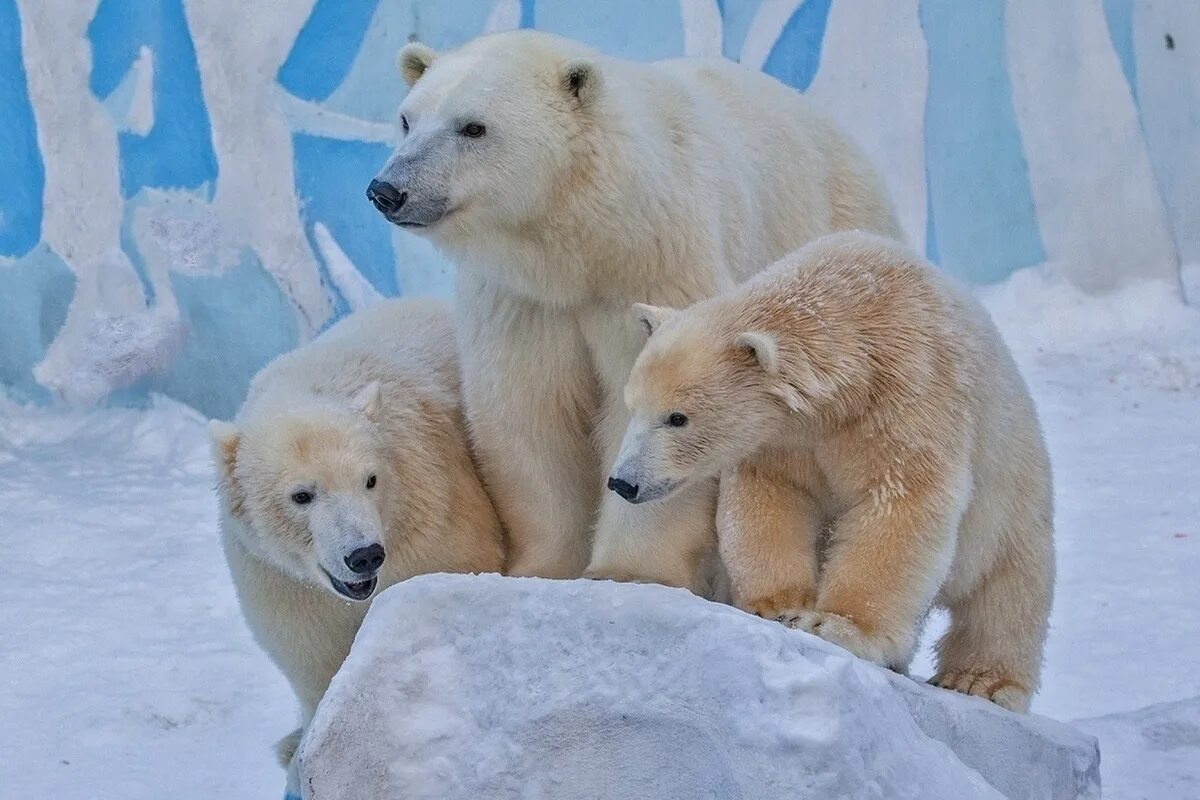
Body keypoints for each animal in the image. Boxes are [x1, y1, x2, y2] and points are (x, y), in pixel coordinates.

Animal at [208, 297, 504, 767]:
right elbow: (313, 653)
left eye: (370, 479)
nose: (363, 555)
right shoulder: (277, 578)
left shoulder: (431, 516)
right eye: (302, 495)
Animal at [364, 31, 902, 594]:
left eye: (473, 126)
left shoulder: (659, 266)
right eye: (407, 119)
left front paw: (627, 571)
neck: (592, 240)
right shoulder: (524, 302)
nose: (387, 190)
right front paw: (543, 568)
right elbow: (529, 414)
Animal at [614, 232, 1056, 714]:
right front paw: (778, 606)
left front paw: (836, 625)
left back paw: (979, 679)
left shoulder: (911, 395)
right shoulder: (786, 441)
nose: (622, 482)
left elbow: (903, 502)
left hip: (1014, 497)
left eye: (678, 418)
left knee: (1006, 592)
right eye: (633, 407)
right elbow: (769, 500)